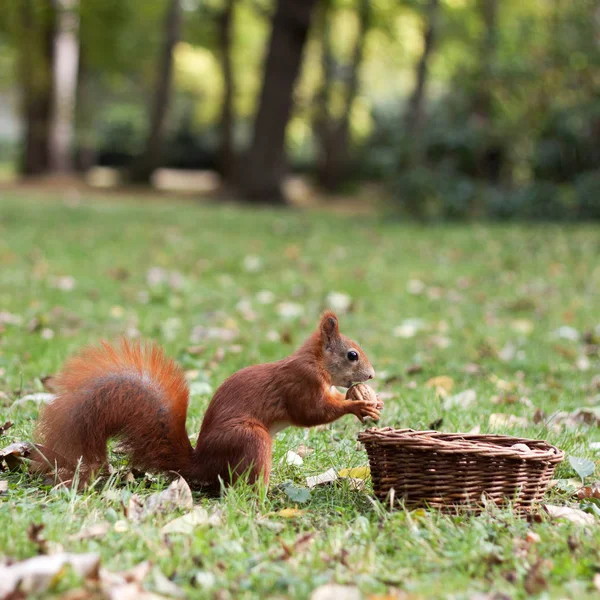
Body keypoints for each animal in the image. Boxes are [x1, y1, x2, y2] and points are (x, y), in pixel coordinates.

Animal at [31, 312, 380, 490]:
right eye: (352, 355)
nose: (372, 375)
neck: (315, 361)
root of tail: (201, 463)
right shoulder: (300, 383)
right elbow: (311, 413)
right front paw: (357, 405)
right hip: (249, 438)